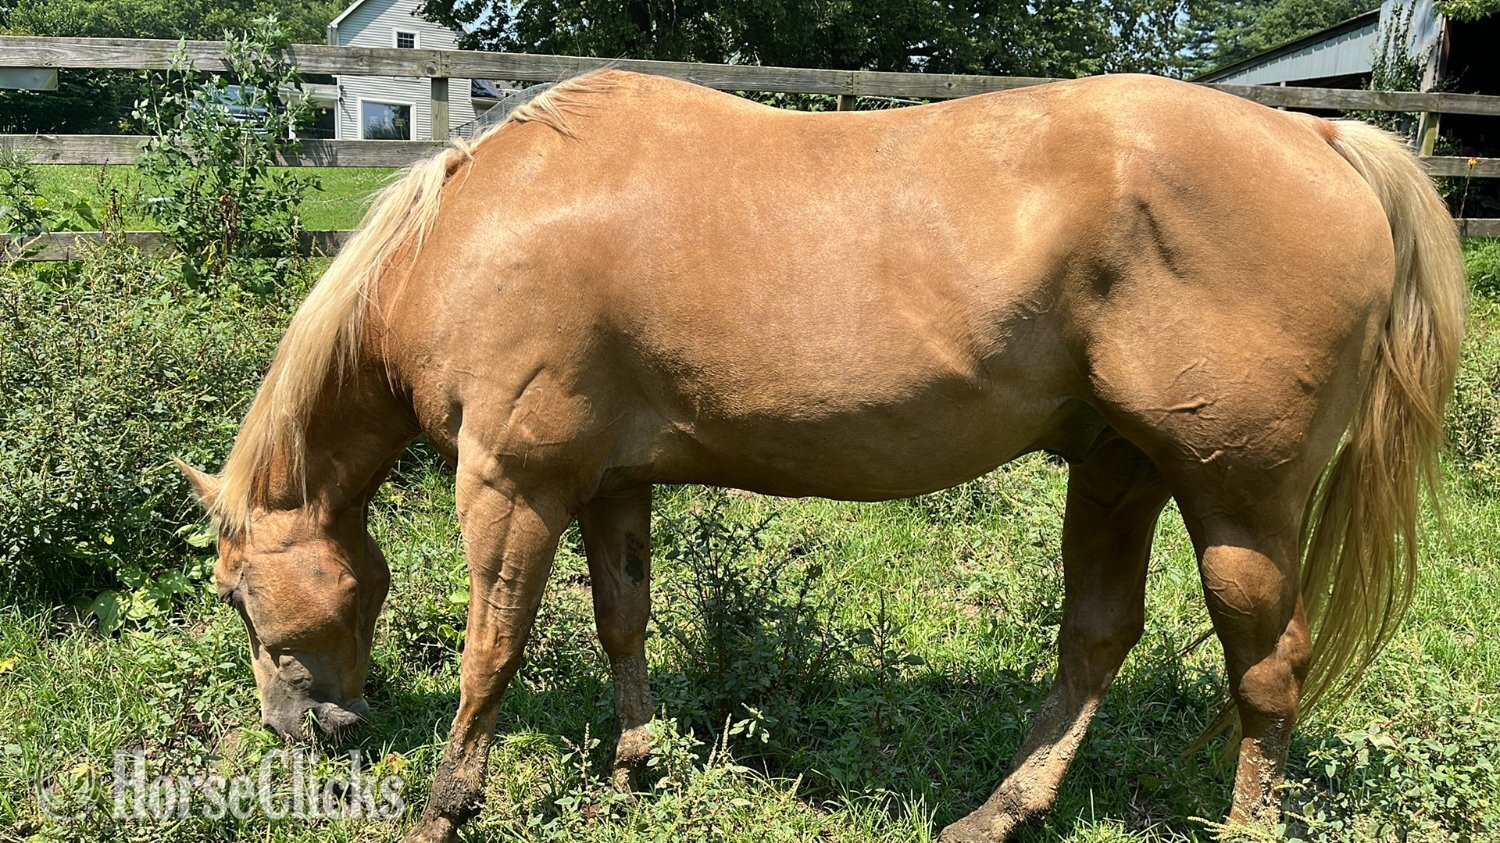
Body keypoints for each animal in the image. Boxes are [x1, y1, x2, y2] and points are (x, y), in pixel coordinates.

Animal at [177, 69, 1466, 842]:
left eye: (237, 597)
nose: (301, 732)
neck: (472, 230)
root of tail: (1325, 137)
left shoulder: (513, 483)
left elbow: (491, 653)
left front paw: (447, 803)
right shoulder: (613, 484)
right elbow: (623, 622)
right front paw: (634, 765)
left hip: (1237, 502)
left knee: (1269, 674)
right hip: (1118, 469)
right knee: (1097, 643)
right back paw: (997, 811)